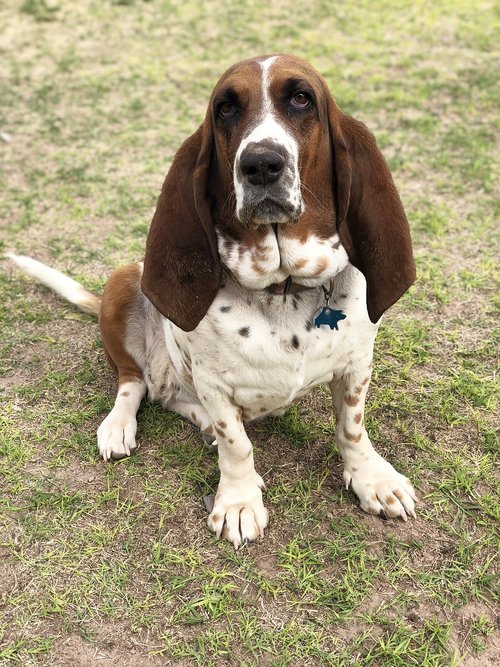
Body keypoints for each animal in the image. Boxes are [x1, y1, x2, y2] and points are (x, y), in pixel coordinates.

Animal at [7, 54, 418, 548]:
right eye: (226, 107)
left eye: (302, 98)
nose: (261, 164)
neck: (282, 288)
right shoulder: (215, 385)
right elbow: (237, 445)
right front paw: (238, 502)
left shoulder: (356, 366)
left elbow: (352, 428)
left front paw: (372, 478)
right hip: (124, 280)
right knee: (135, 381)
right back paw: (120, 425)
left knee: (166, 395)